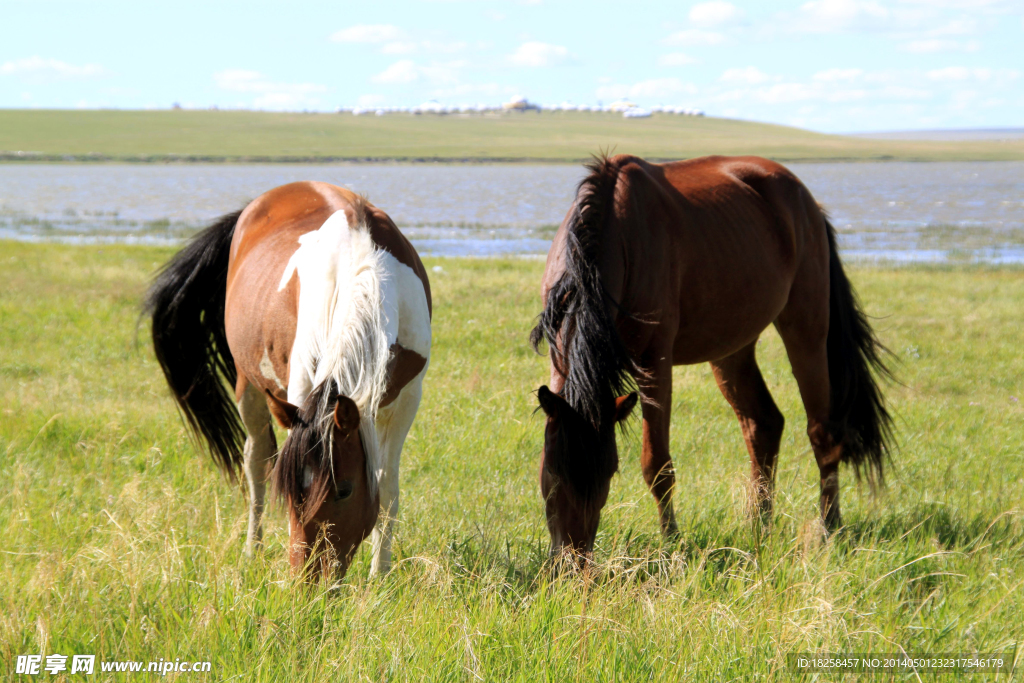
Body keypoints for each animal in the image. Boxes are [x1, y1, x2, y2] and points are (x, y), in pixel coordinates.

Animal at [146, 181, 432, 579]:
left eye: (344, 491)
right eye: (291, 491)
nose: (308, 581)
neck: (364, 271)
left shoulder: (406, 400)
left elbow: (387, 488)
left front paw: (380, 575)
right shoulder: (300, 392)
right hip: (249, 385)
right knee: (256, 461)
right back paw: (252, 549)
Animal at [530, 154, 893, 558]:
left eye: (607, 473)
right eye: (553, 472)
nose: (573, 559)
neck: (613, 239)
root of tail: (805, 199)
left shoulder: (655, 362)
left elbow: (657, 465)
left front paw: (671, 544)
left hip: (807, 329)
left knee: (822, 431)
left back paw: (830, 527)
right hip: (732, 349)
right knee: (763, 424)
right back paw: (759, 526)